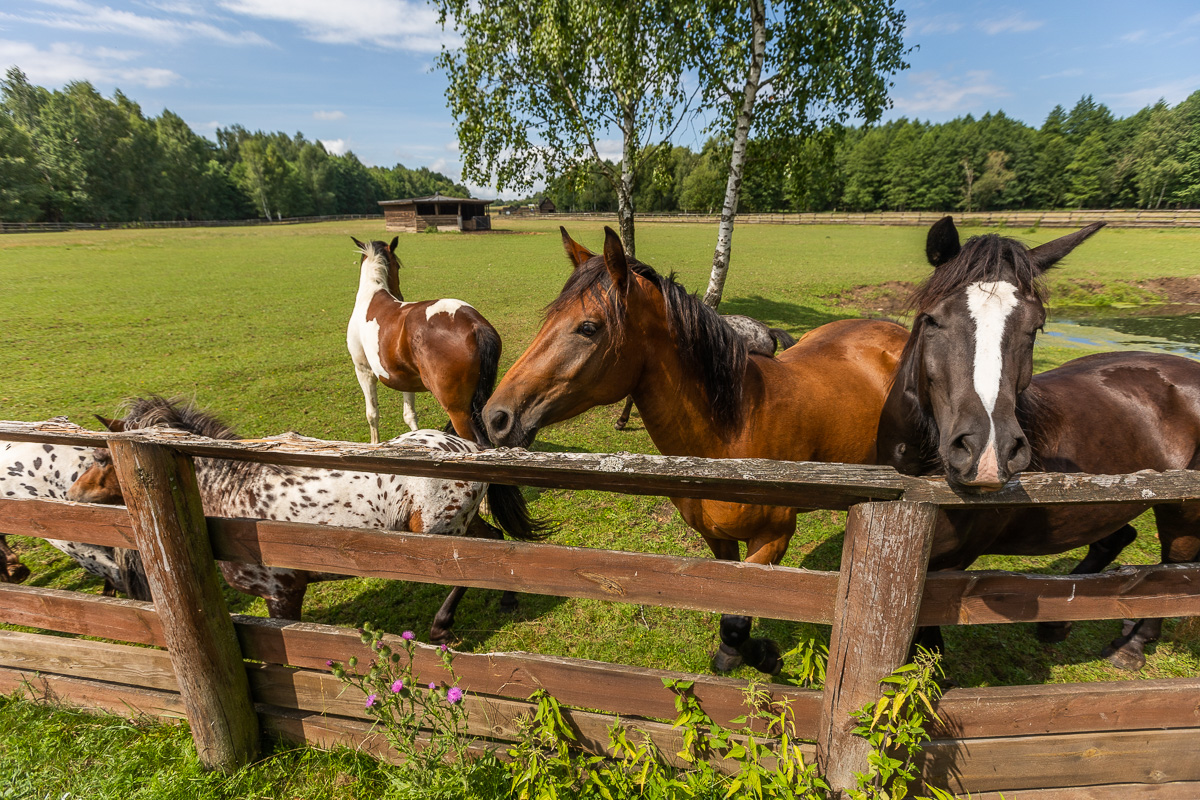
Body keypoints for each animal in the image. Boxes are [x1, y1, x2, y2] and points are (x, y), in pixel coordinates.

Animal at [68, 398, 547, 642]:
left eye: (103, 456)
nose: (73, 494)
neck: (230, 490)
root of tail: (466, 447)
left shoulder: (282, 591)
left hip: (438, 531)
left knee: (465, 569)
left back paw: (441, 626)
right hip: (456, 524)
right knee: (493, 544)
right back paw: (507, 599)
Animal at [348, 237, 501, 450]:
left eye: (397, 265)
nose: (400, 296)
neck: (371, 295)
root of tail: (474, 324)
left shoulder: (363, 371)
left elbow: (372, 414)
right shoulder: (404, 379)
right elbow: (410, 415)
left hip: (458, 412)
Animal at [482, 226, 902, 676]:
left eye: (588, 327)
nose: (496, 416)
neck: (735, 432)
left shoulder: (773, 538)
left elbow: (737, 617)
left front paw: (765, 658)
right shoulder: (717, 539)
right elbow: (731, 614)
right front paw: (742, 654)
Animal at [873, 217, 1200, 671]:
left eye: (1036, 326)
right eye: (932, 320)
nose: (987, 451)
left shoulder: (947, 565)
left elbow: (925, 640)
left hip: (1182, 510)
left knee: (1175, 569)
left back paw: (1132, 645)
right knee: (1116, 540)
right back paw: (1058, 622)